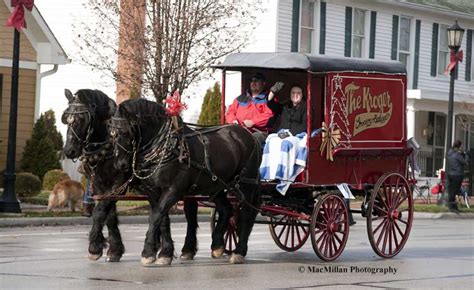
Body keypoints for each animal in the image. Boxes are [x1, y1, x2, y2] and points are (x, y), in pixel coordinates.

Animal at [60, 89, 200, 264]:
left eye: (82, 119)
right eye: (66, 118)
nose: (69, 150)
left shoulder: (119, 184)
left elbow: (100, 212)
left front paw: (95, 247)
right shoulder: (101, 185)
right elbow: (109, 216)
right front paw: (115, 250)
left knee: (191, 214)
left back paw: (188, 249)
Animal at [111, 98, 262, 264]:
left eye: (127, 131)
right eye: (112, 134)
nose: (120, 164)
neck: (167, 146)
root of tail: (250, 136)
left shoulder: (173, 190)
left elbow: (156, 215)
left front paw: (148, 252)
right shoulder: (153, 192)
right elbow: (162, 218)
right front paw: (165, 254)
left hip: (246, 183)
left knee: (246, 214)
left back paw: (239, 252)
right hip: (216, 185)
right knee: (226, 209)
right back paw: (217, 245)